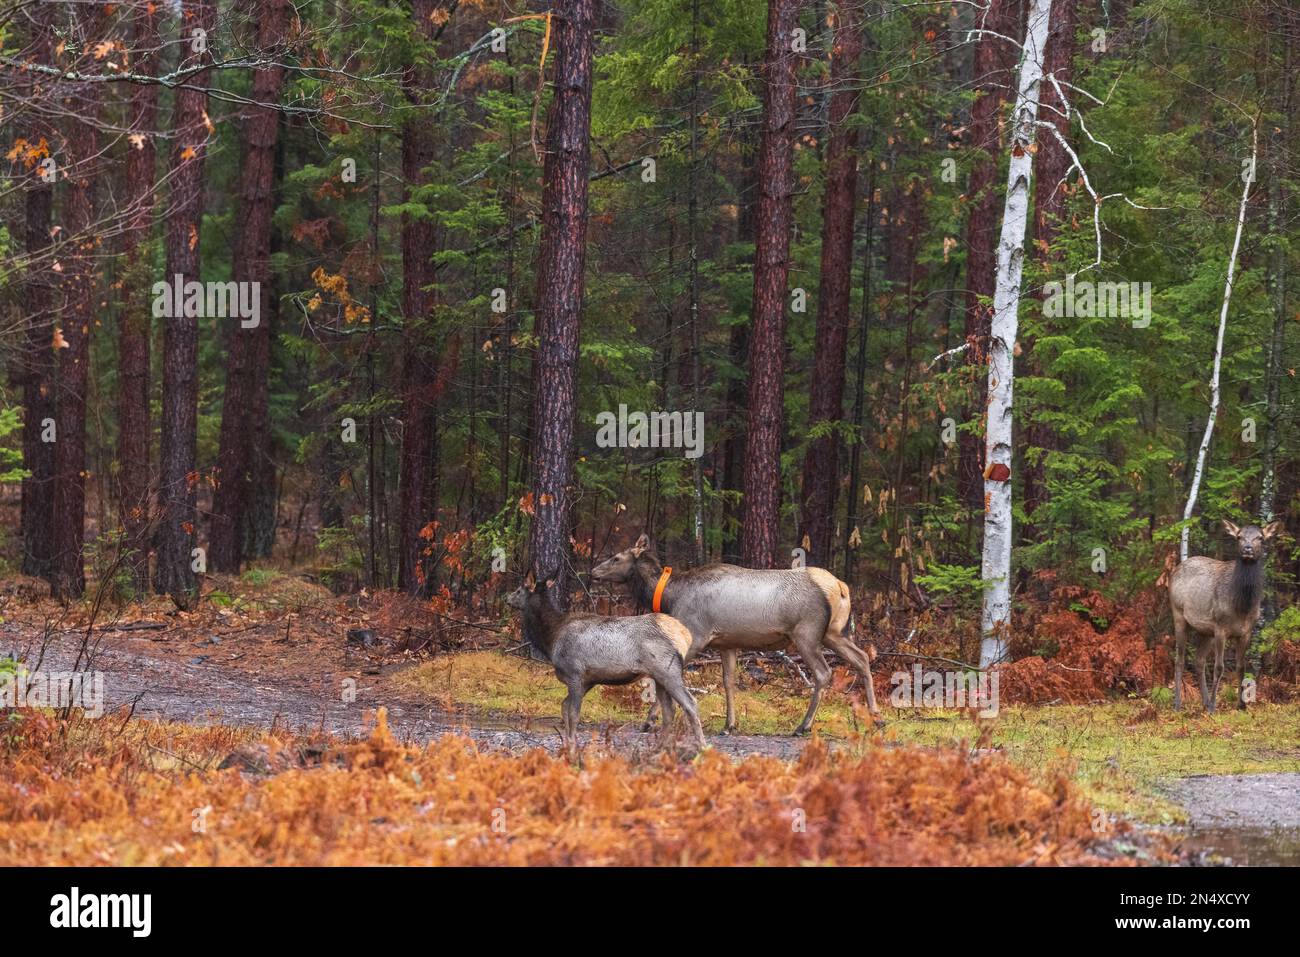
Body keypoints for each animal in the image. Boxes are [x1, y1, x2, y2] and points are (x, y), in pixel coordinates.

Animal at [509, 566, 712, 754]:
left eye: (519, 589)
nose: (508, 598)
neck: (551, 639)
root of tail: (684, 635)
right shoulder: (587, 681)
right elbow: (564, 707)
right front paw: (566, 746)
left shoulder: (575, 673)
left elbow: (573, 714)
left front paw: (573, 748)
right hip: (659, 676)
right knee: (669, 710)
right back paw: (659, 748)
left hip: (668, 671)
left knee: (690, 703)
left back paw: (701, 746)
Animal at [592, 535, 883, 738]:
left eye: (616, 558)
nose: (593, 571)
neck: (668, 596)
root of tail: (840, 587)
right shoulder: (726, 642)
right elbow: (729, 681)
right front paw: (729, 724)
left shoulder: (697, 633)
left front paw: (649, 720)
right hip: (834, 632)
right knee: (862, 658)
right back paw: (877, 717)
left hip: (806, 632)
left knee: (824, 673)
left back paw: (803, 726)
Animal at [1170, 520, 1279, 712]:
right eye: (1239, 536)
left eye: (1260, 537)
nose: (1248, 549)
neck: (1242, 606)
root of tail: (1176, 568)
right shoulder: (1221, 628)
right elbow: (1219, 667)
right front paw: (1214, 707)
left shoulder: (1245, 632)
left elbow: (1241, 666)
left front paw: (1241, 705)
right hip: (1179, 615)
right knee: (1180, 659)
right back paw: (1179, 704)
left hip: (1205, 631)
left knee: (1199, 660)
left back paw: (1204, 702)